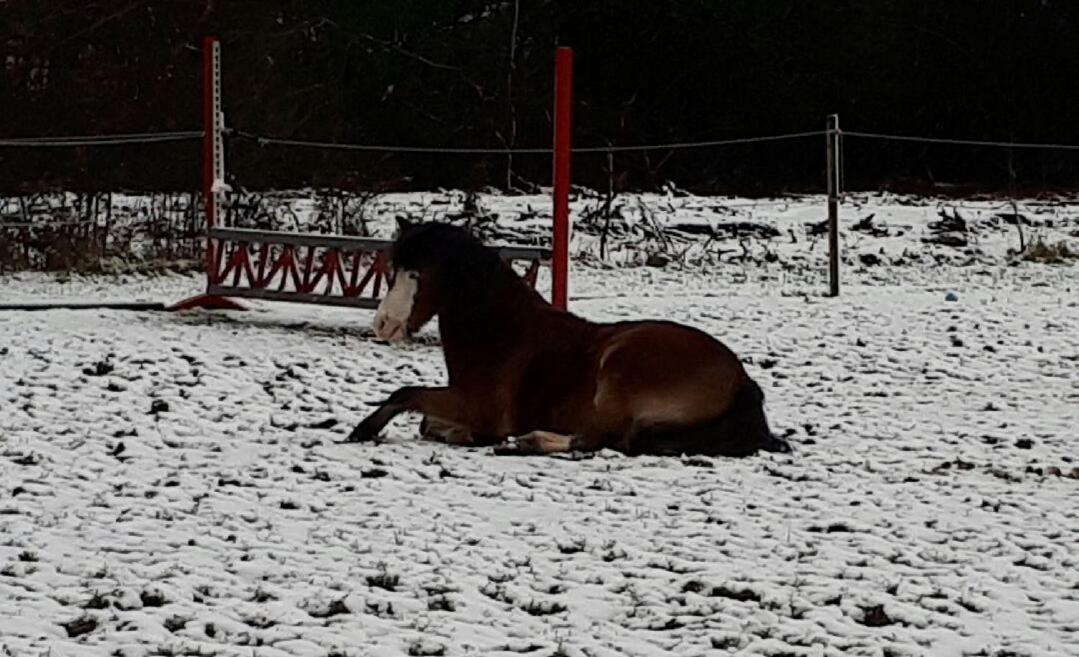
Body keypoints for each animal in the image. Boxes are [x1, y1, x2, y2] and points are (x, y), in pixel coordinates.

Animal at [347, 219, 794, 455]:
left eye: (415, 274)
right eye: (393, 269)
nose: (383, 325)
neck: (501, 333)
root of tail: (740, 379)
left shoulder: (479, 408)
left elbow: (406, 394)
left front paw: (364, 430)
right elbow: (426, 420)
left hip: (618, 371)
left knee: (603, 439)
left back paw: (530, 440)